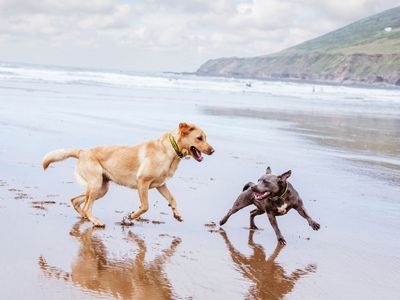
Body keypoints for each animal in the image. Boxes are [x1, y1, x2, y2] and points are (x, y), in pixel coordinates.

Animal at [42, 122, 214, 225]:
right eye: (199, 138)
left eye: (205, 137)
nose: (213, 151)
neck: (170, 150)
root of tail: (82, 152)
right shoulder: (143, 182)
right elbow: (145, 206)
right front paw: (131, 216)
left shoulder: (161, 184)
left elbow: (173, 199)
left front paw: (177, 214)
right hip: (96, 184)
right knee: (86, 206)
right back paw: (95, 221)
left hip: (101, 188)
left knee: (76, 201)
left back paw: (86, 217)